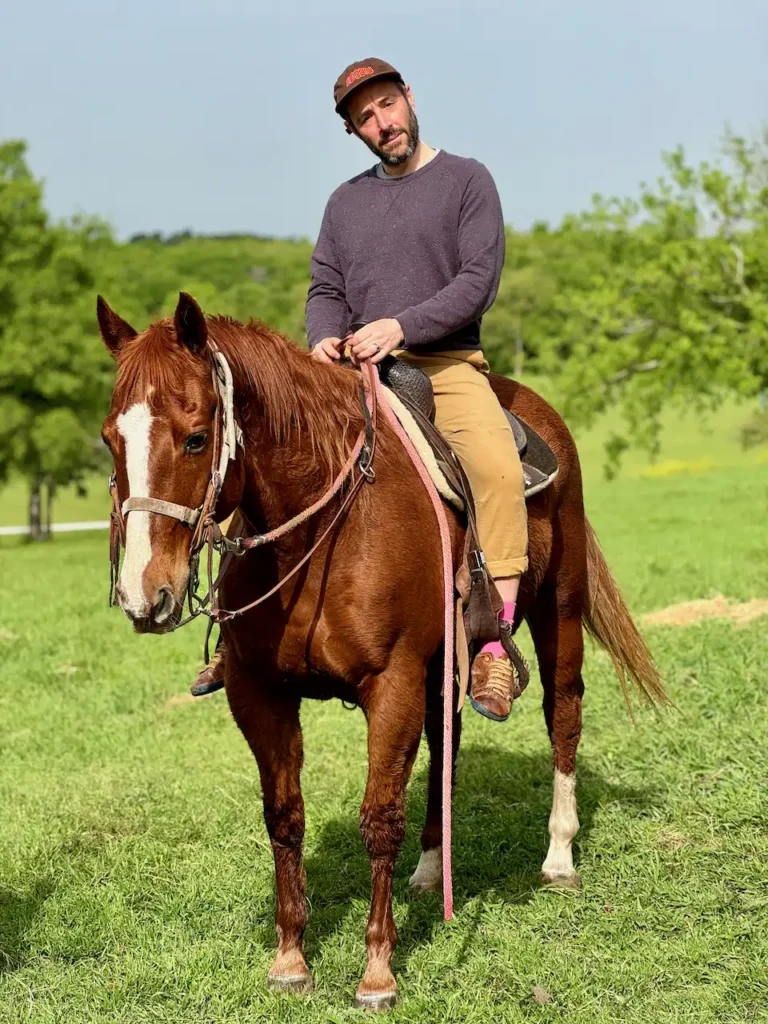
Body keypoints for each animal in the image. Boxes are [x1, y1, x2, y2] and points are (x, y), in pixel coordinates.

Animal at [99, 292, 671, 1011]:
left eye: (197, 436)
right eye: (109, 438)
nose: (144, 595)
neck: (321, 528)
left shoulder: (390, 682)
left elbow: (379, 819)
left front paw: (377, 971)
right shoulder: (259, 692)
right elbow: (284, 816)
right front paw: (291, 959)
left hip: (558, 613)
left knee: (563, 715)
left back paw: (559, 856)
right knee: (446, 738)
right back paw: (430, 869)